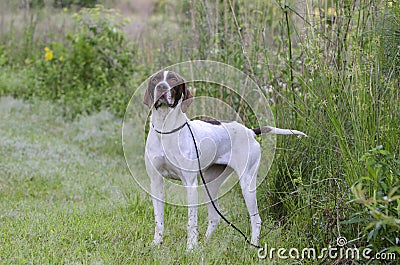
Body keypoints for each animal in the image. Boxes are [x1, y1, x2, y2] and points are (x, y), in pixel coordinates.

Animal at [144, 69, 306, 249]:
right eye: (155, 80)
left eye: (173, 80)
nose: (161, 87)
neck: (165, 130)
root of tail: (250, 131)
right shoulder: (156, 182)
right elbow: (159, 220)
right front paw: (156, 243)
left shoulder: (190, 184)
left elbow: (191, 222)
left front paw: (190, 248)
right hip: (209, 184)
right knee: (215, 217)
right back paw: (206, 243)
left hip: (247, 184)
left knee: (256, 220)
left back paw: (252, 246)